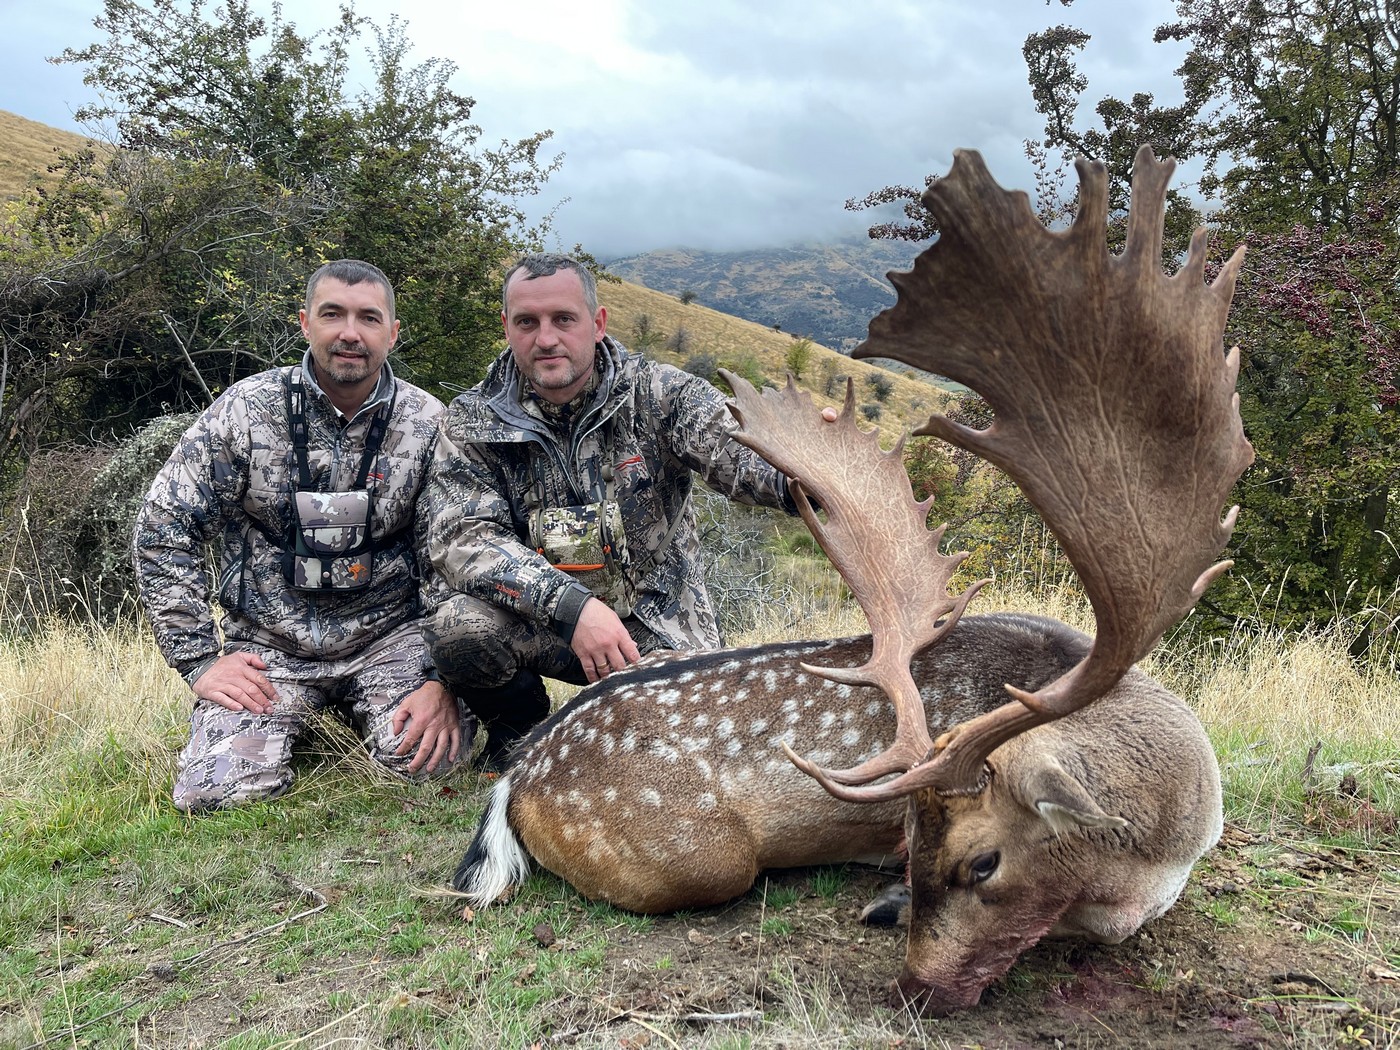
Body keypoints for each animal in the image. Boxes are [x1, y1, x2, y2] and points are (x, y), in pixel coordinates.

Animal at [453, 144, 1254, 1013]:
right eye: (907, 841)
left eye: (983, 861)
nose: (914, 988)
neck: (1167, 839)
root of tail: (518, 774)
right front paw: (886, 903)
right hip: (695, 856)